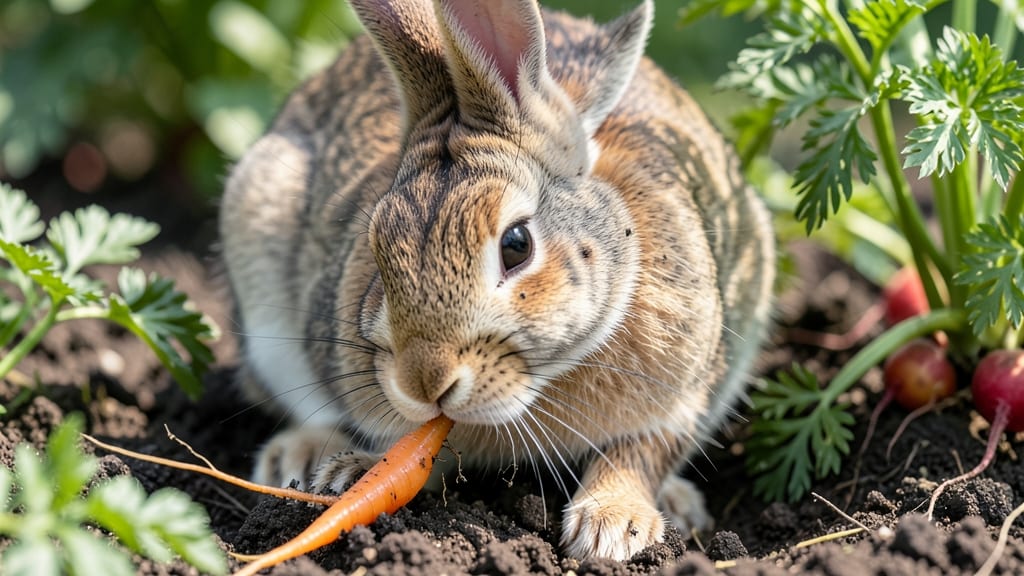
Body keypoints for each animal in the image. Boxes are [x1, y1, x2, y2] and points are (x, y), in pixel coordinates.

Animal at [219, 0, 775, 561]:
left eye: (517, 244)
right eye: (376, 242)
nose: (424, 383)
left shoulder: (686, 394)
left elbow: (640, 453)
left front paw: (612, 528)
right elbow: (424, 457)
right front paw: (353, 473)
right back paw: (302, 457)